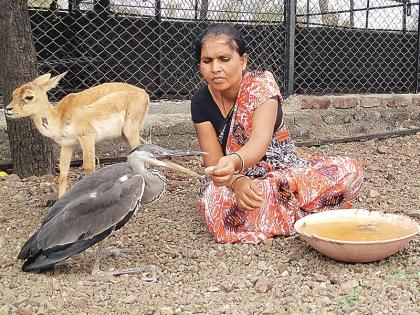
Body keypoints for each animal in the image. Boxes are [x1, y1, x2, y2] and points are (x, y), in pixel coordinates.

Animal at [5, 72, 149, 196]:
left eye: (29, 96)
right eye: (13, 93)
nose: (8, 109)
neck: (59, 117)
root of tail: (144, 94)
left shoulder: (87, 136)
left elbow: (89, 167)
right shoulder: (67, 145)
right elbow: (63, 171)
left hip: (130, 131)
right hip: (123, 134)